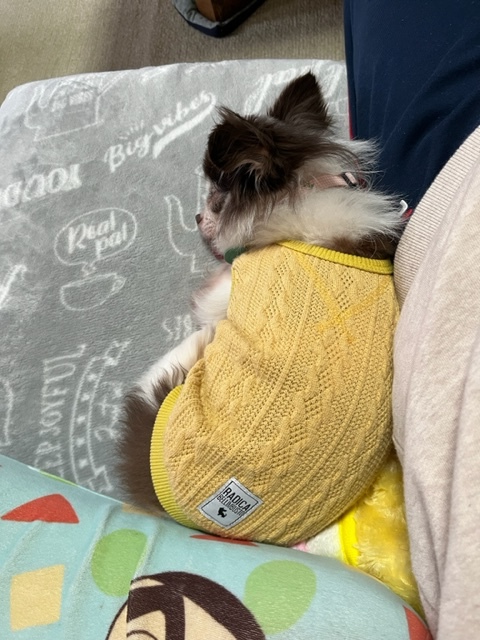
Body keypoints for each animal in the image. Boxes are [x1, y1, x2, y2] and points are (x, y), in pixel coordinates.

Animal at [117, 72, 403, 545]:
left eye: (215, 199)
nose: (195, 217)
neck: (306, 190)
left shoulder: (231, 287)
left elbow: (213, 297)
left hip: (167, 373)